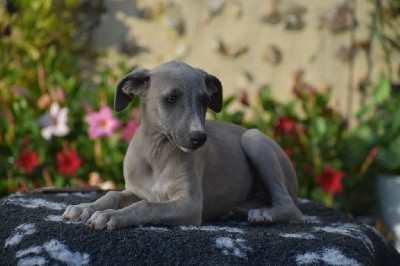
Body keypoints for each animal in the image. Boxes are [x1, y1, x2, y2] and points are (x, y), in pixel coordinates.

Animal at [61, 59, 300, 229]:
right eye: (171, 98)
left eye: (205, 100)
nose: (200, 138)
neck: (157, 153)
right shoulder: (137, 190)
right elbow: (114, 195)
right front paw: (85, 208)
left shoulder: (190, 205)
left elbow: (146, 205)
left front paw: (111, 216)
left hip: (254, 139)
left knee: (290, 206)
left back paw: (263, 213)